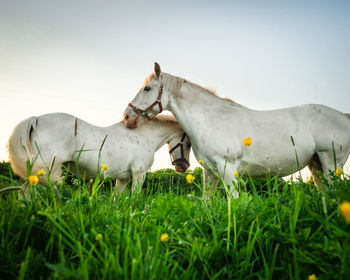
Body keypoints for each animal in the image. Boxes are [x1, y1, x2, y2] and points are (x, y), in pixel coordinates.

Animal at [6, 112, 191, 196]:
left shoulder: (123, 178)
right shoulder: (139, 174)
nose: (183, 167)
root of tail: (36, 119)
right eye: (188, 143)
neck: (143, 136)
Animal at [123, 63, 350, 197]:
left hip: (330, 162)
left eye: (147, 88)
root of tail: (343, 116)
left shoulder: (228, 169)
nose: (127, 117)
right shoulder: (210, 171)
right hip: (316, 165)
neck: (210, 120)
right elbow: (207, 202)